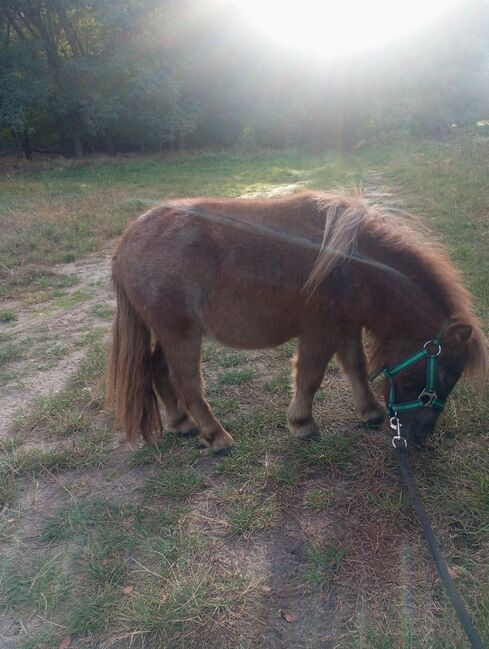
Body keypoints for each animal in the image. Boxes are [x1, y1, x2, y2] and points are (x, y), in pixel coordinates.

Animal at [106, 190, 484, 448]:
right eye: (446, 373)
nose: (419, 435)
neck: (354, 264)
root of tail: (126, 242)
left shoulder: (346, 327)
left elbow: (356, 367)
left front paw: (370, 411)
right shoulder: (320, 331)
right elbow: (310, 376)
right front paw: (303, 424)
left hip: (168, 334)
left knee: (158, 371)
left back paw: (181, 423)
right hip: (181, 335)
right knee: (187, 384)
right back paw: (216, 437)